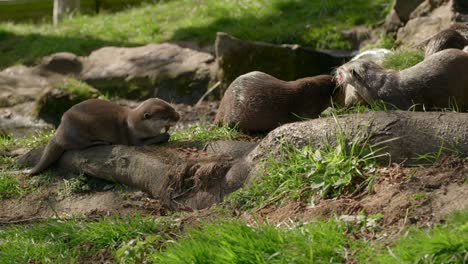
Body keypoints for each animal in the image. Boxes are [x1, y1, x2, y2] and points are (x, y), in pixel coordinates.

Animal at [28, 97, 179, 175]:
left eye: (172, 108)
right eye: (165, 116)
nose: (178, 117)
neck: (136, 123)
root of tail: (59, 132)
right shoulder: (133, 135)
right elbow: (140, 143)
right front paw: (162, 137)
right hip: (78, 129)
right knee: (79, 144)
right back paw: (100, 142)